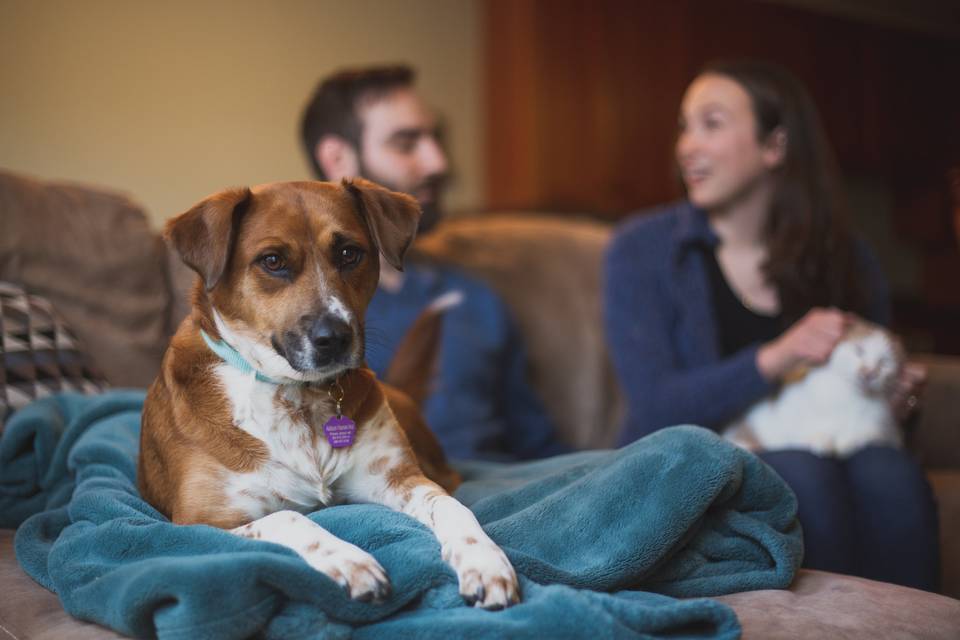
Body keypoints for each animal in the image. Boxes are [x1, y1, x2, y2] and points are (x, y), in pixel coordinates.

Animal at [137, 178, 516, 608]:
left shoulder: (399, 478)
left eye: (349, 253)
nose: (335, 338)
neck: (296, 395)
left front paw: (484, 561)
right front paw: (350, 561)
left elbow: (454, 508)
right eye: (272, 261)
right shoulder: (201, 520)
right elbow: (288, 517)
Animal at [728, 322, 908, 458]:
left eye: (884, 363)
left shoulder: (887, 433)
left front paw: (846, 442)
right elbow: (811, 430)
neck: (850, 396)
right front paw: (822, 440)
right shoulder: (792, 413)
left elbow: (864, 435)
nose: (869, 373)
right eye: (859, 350)